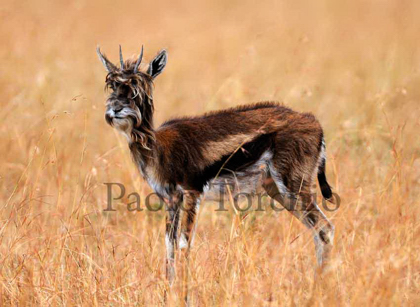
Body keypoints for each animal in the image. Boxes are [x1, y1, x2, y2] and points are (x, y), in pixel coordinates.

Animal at [97, 46, 336, 300]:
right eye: (112, 85)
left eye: (138, 87)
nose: (116, 109)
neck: (159, 147)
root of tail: (314, 123)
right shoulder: (171, 200)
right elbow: (169, 245)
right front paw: (168, 294)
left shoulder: (191, 193)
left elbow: (184, 244)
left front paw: (185, 298)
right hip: (280, 192)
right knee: (317, 231)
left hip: (294, 187)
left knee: (326, 228)